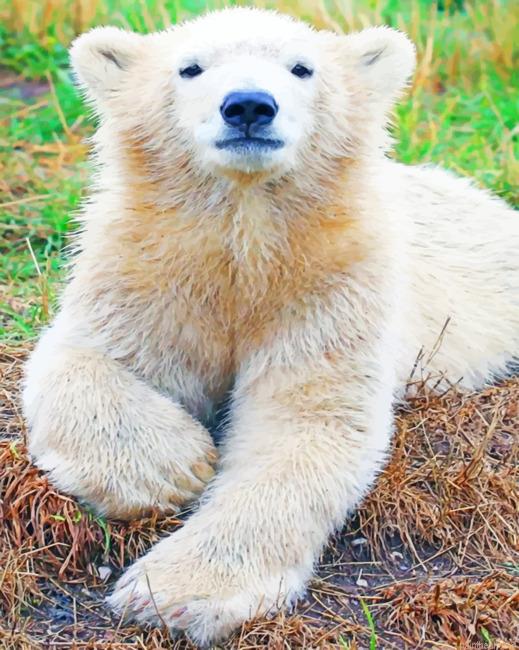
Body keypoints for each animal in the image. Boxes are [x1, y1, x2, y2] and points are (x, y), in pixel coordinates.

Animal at [22, 7, 518, 646]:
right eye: (190, 67)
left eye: (301, 67)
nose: (249, 105)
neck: (247, 240)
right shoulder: (145, 268)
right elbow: (79, 356)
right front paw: (175, 466)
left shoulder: (332, 285)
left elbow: (307, 420)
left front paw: (176, 593)